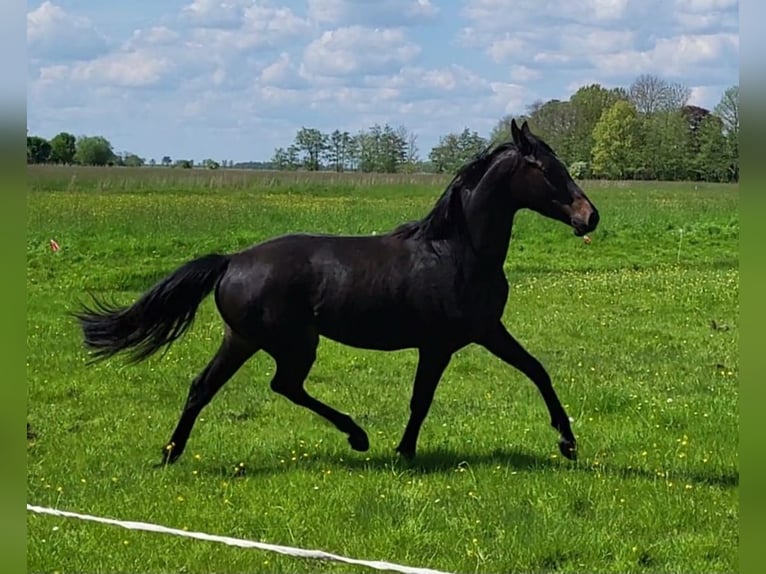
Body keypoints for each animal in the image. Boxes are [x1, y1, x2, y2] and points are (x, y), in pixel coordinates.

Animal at [79, 121, 608, 468]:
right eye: (546, 168)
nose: (590, 216)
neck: (455, 251)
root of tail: (231, 261)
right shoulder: (442, 343)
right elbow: (423, 399)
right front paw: (403, 451)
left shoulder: (486, 331)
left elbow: (537, 371)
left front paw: (567, 443)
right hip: (293, 342)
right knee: (283, 385)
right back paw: (357, 437)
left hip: (243, 339)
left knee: (203, 387)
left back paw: (170, 455)